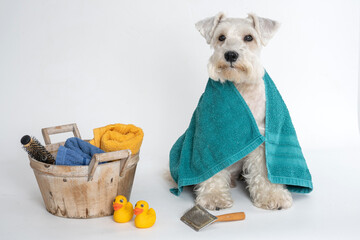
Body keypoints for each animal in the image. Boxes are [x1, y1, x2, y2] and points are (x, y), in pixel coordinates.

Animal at [194, 12, 292, 210]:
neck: (241, 86)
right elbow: (212, 171)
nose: (231, 54)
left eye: (249, 37)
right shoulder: (212, 138)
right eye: (221, 37)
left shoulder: (262, 139)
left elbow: (264, 172)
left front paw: (272, 196)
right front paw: (214, 197)